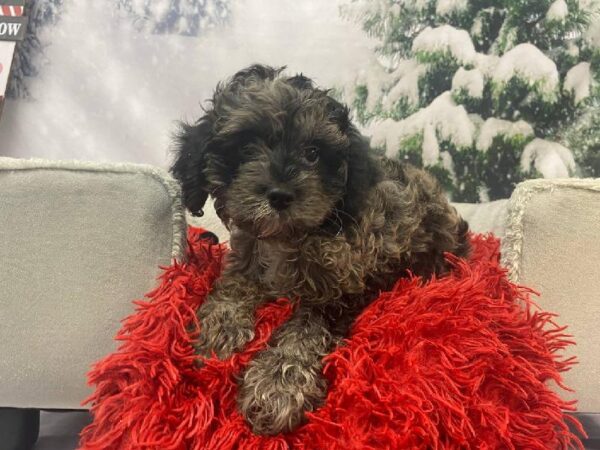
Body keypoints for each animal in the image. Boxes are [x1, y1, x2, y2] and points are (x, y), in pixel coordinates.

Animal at [171, 64, 472, 436]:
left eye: (313, 154)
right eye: (246, 148)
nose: (280, 195)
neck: (287, 238)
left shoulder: (345, 289)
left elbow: (305, 329)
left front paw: (277, 385)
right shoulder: (248, 256)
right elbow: (234, 283)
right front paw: (220, 327)